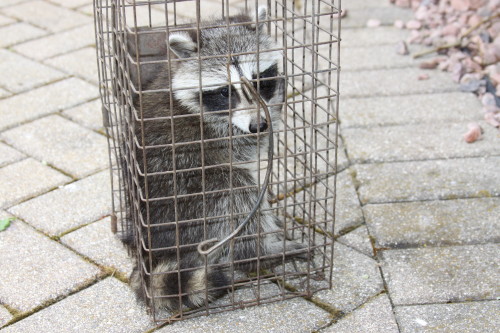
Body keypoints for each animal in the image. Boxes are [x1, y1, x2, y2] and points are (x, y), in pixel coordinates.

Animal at [123, 6, 306, 312]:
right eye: (225, 91)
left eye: (258, 81)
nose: (259, 125)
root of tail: (149, 246)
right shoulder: (210, 131)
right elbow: (242, 151)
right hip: (190, 198)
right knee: (236, 190)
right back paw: (262, 252)